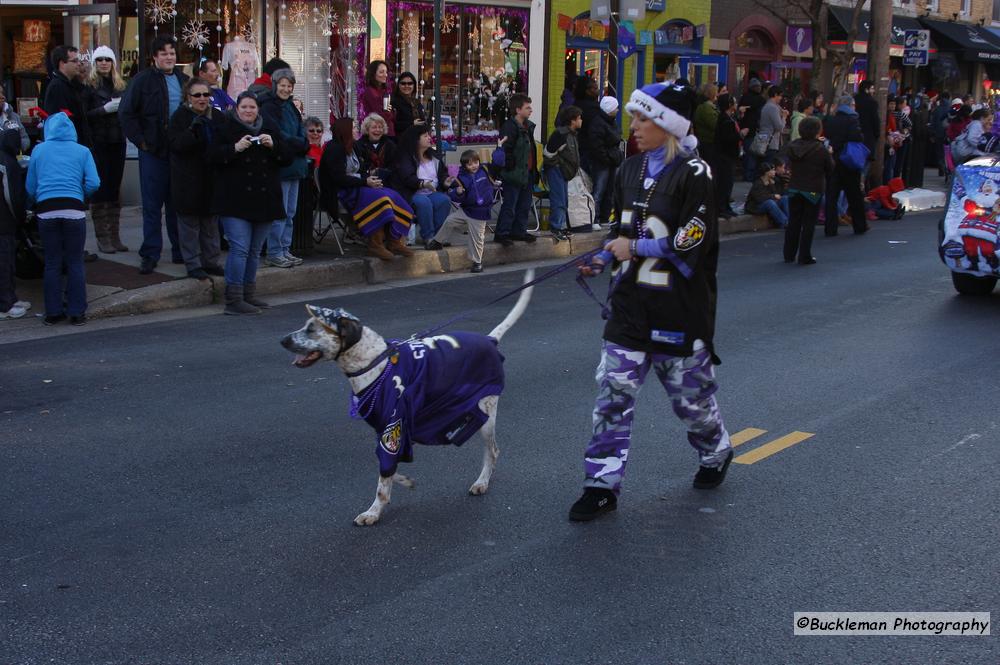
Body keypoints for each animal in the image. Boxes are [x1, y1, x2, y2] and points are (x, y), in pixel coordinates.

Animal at [278, 268, 536, 524]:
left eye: (312, 329)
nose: (283, 340)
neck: (373, 361)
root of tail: (489, 340)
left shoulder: (393, 426)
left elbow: (383, 477)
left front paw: (374, 511)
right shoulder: (387, 428)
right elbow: (388, 470)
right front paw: (402, 482)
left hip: (485, 416)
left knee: (492, 452)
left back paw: (482, 481)